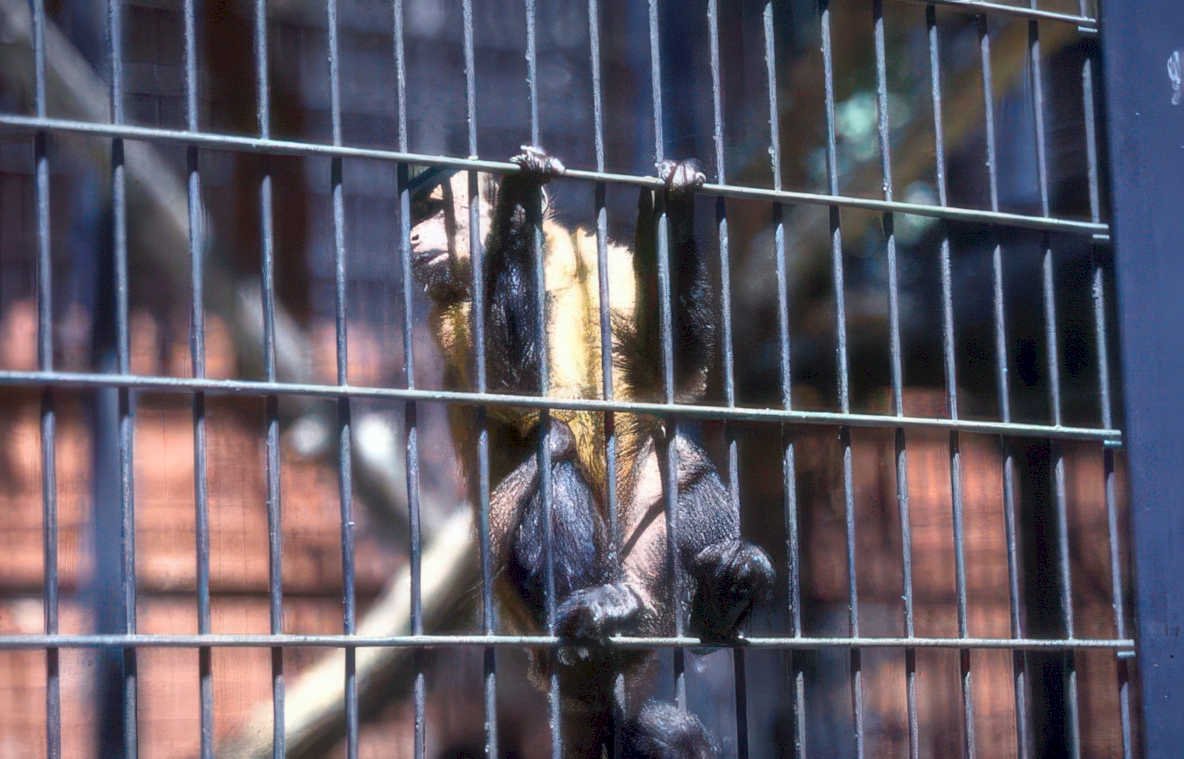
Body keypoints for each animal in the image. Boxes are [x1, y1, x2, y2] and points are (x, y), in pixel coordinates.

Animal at [410, 146, 775, 758]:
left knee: (674, 461)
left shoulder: (598, 260)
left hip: (648, 582)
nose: (412, 235)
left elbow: (672, 374)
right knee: (551, 457)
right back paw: (591, 620)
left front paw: (671, 209)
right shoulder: (450, 311)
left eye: (436, 211)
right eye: (421, 215)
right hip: (525, 611)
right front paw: (517, 211)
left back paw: (719, 599)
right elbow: (513, 389)